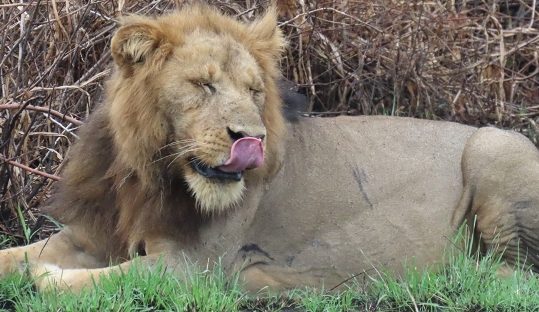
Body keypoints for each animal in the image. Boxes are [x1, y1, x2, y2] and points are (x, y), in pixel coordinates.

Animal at [1, 4, 539, 292]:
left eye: (255, 90)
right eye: (203, 85)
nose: (251, 139)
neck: (148, 174)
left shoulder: (193, 268)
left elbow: (94, 279)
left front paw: (45, 278)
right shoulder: (92, 236)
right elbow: (16, 255)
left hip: (494, 146)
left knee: (510, 274)